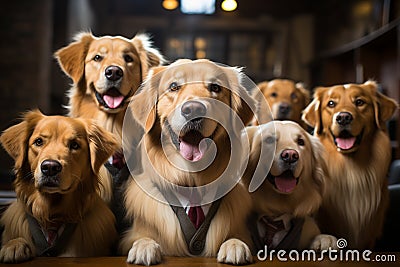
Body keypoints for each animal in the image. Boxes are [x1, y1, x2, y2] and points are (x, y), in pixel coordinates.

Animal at [119, 59, 256, 266]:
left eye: (215, 87)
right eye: (174, 87)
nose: (193, 109)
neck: (192, 181)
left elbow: (236, 237)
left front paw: (234, 245)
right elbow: (142, 237)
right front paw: (144, 246)